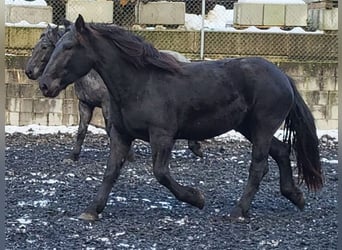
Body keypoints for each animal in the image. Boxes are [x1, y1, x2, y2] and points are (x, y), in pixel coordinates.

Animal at [26, 23, 203, 160]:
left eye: (44, 47)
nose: (28, 71)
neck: (94, 75)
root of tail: (185, 60)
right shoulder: (85, 105)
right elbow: (82, 130)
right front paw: (73, 156)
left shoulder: (106, 105)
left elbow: (109, 129)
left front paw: (128, 155)